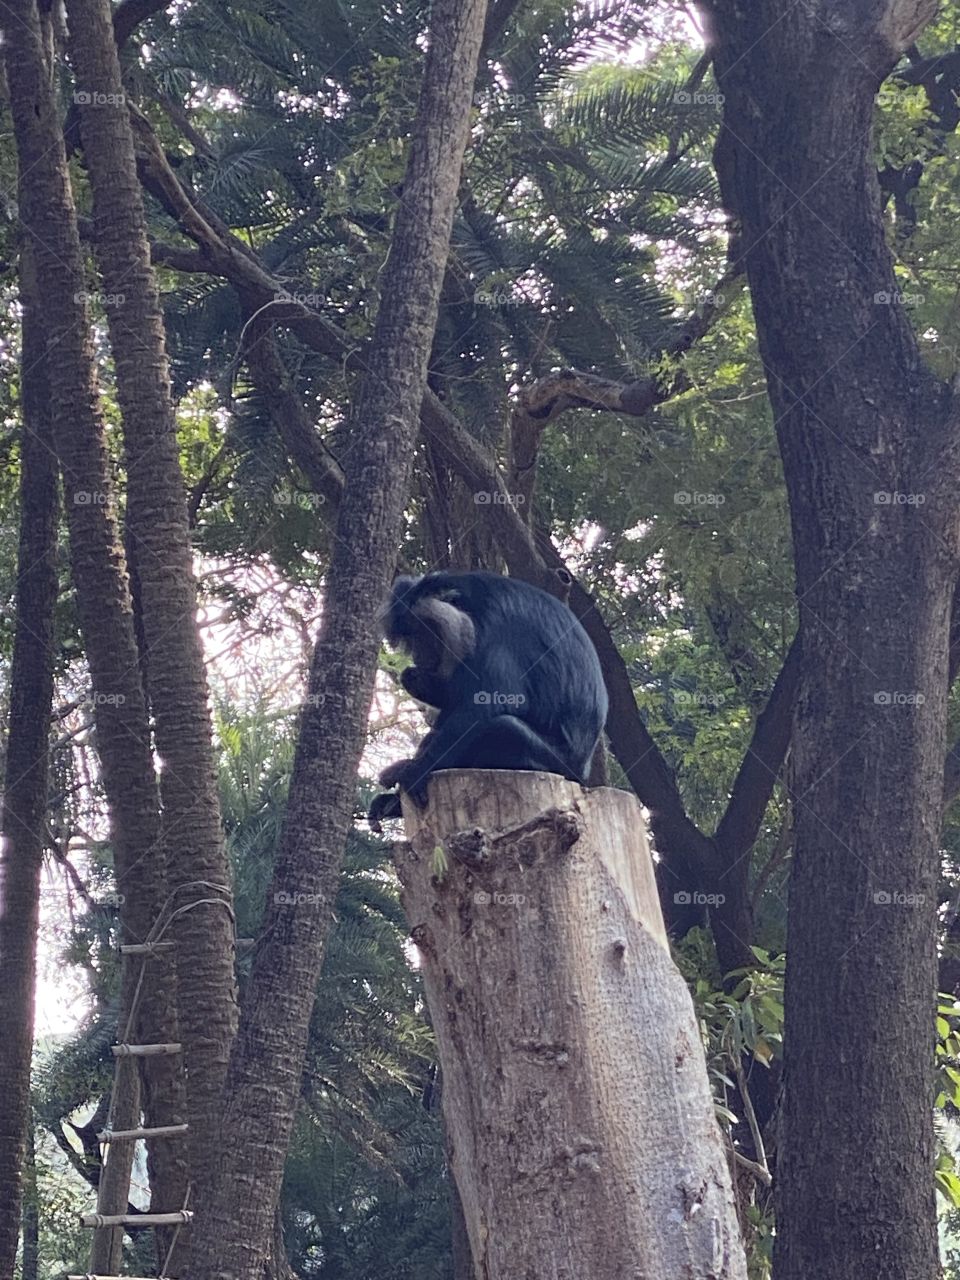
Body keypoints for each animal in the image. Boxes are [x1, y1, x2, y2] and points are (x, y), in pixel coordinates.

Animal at [368, 571, 607, 827]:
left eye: (425, 632)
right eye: (411, 637)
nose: (418, 656)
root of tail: (581, 773)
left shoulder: (495, 633)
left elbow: (488, 704)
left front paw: (416, 770)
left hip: (554, 763)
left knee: (502, 727)